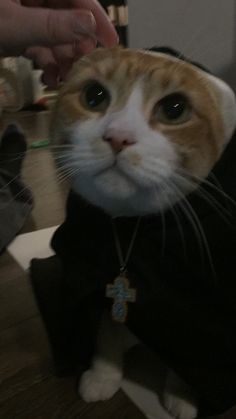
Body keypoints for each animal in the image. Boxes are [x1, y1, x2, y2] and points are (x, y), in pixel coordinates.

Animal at [49, 46, 236, 419]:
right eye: (94, 96)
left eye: (174, 108)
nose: (118, 136)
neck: (131, 231)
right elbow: (106, 332)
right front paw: (104, 374)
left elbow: (187, 350)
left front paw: (182, 394)